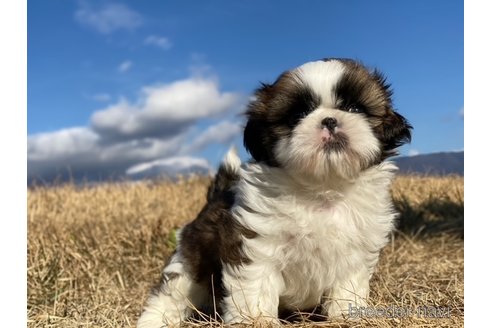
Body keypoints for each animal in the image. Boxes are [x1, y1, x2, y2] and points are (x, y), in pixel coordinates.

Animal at [137, 57, 412, 326]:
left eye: (355, 109)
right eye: (299, 114)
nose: (330, 120)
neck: (323, 188)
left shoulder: (355, 252)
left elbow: (347, 287)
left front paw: (346, 316)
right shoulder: (257, 244)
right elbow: (256, 287)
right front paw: (257, 320)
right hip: (193, 256)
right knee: (174, 292)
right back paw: (155, 320)